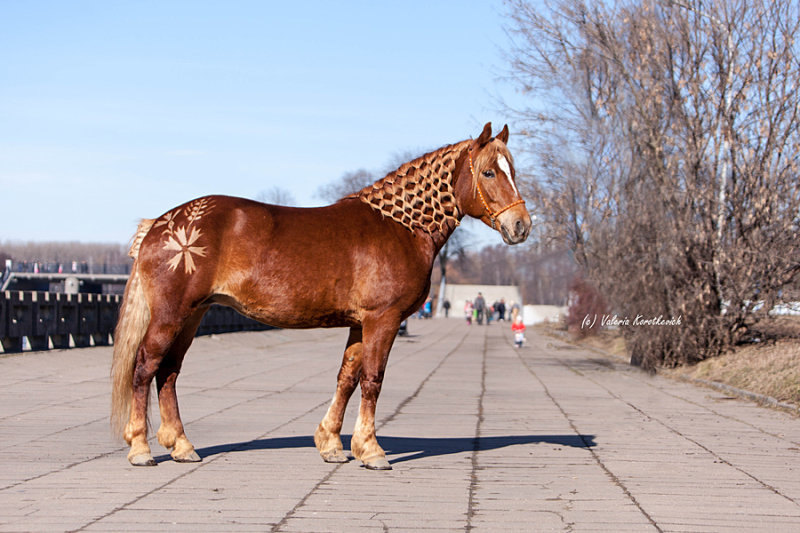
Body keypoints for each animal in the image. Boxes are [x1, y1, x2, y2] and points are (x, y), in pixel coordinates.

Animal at [111, 121, 532, 470]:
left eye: (513, 171)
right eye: (489, 172)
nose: (521, 226)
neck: (399, 227)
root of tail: (159, 224)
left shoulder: (360, 324)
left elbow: (347, 377)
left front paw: (332, 444)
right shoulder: (383, 319)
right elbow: (373, 379)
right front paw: (372, 451)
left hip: (193, 314)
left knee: (168, 371)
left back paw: (181, 446)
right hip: (172, 313)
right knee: (144, 367)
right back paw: (141, 449)